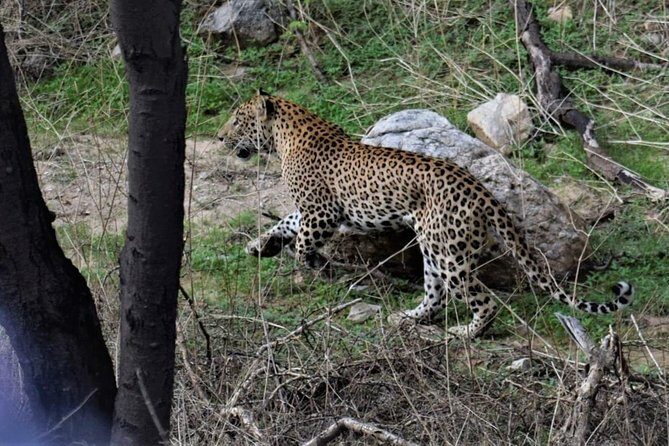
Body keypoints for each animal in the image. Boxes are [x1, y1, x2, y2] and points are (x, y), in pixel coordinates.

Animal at [218, 91, 633, 338]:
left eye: (237, 119)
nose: (220, 137)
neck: (284, 137)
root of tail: (480, 190)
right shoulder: (311, 210)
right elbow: (286, 222)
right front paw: (261, 245)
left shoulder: (322, 211)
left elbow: (303, 240)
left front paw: (311, 267)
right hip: (435, 247)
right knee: (436, 294)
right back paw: (408, 318)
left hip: (448, 253)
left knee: (481, 300)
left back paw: (467, 333)